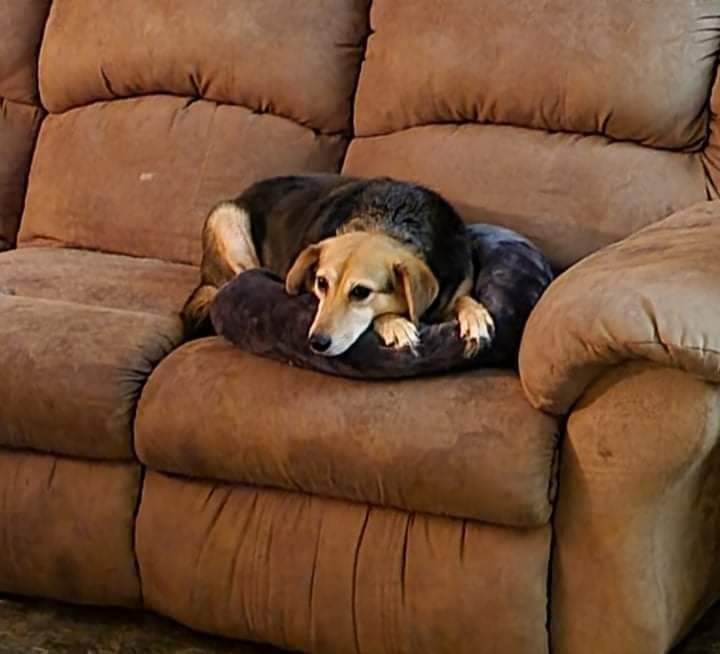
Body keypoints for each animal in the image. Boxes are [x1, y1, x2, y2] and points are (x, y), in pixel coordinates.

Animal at [181, 174, 496, 358]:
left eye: (360, 292)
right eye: (321, 284)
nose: (316, 343)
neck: (390, 220)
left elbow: (463, 298)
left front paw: (475, 314)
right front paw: (394, 323)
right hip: (225, 217)